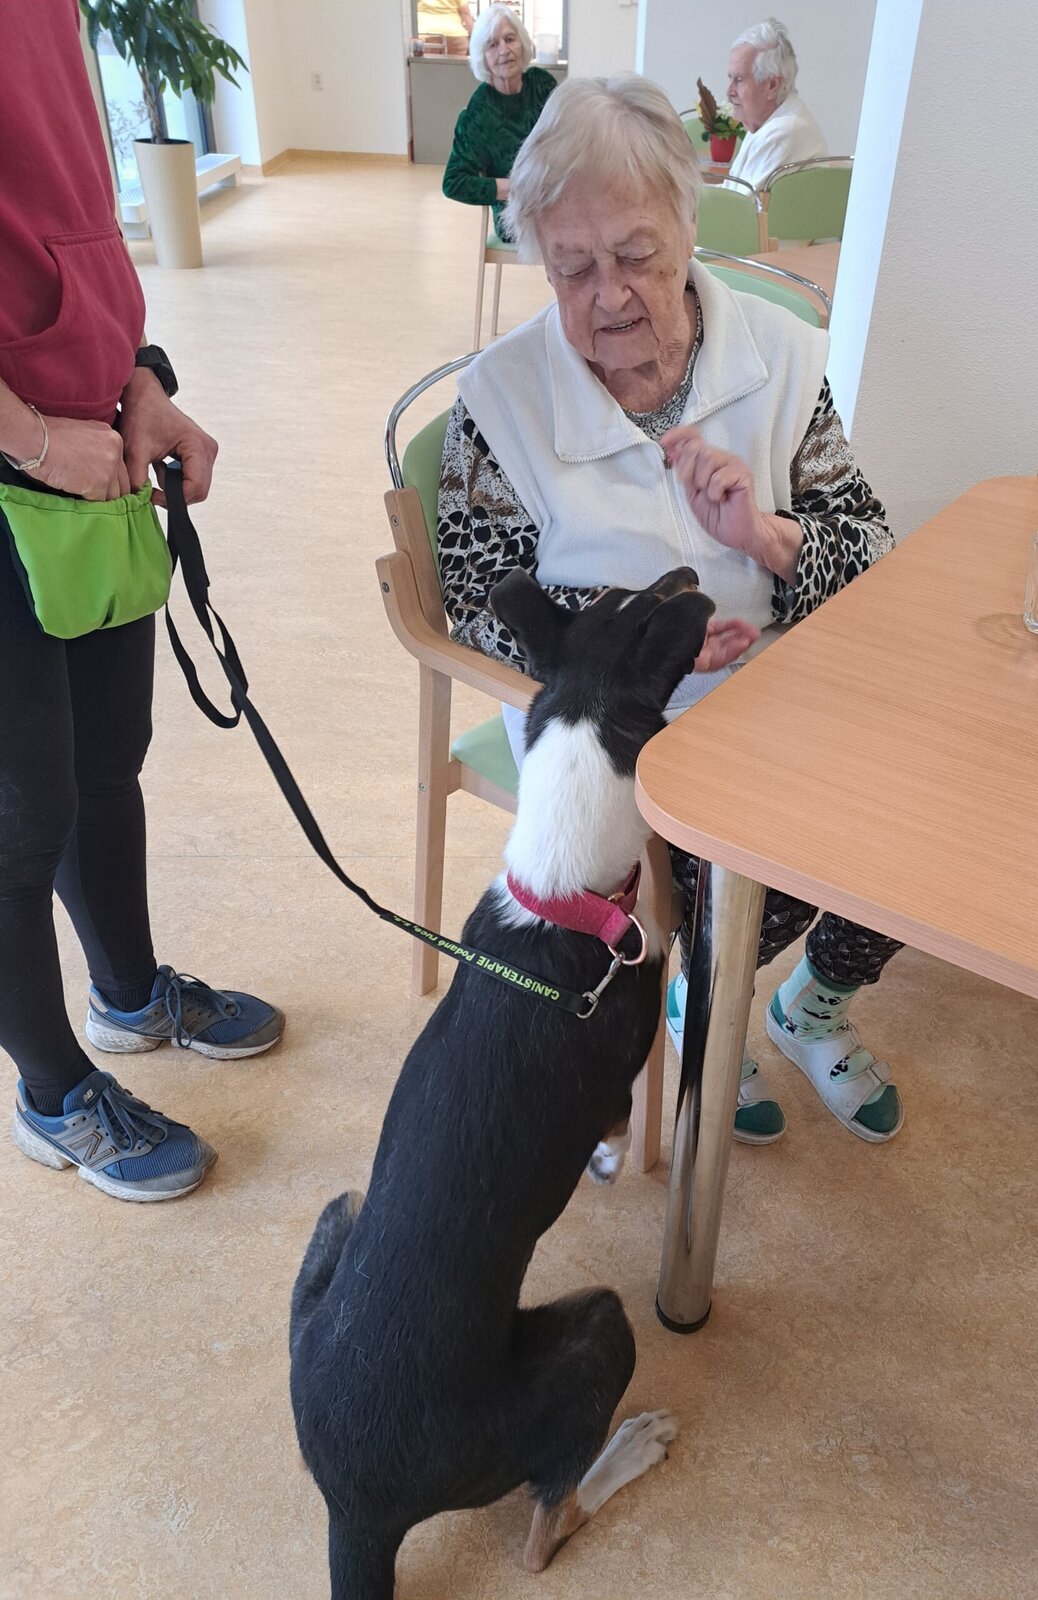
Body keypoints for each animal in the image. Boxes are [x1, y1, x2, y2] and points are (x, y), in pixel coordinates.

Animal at [290, 566, 715, 1598]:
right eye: (653, 611)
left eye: (615, 597)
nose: (691, 574)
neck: (567, 891)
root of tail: (356, 1507)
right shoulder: (621, 1060)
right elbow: (619, 1121)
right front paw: (612, 1163)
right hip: (599, 1332)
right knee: (543, 1531)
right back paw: (629, 1449)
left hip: (338, 1217)